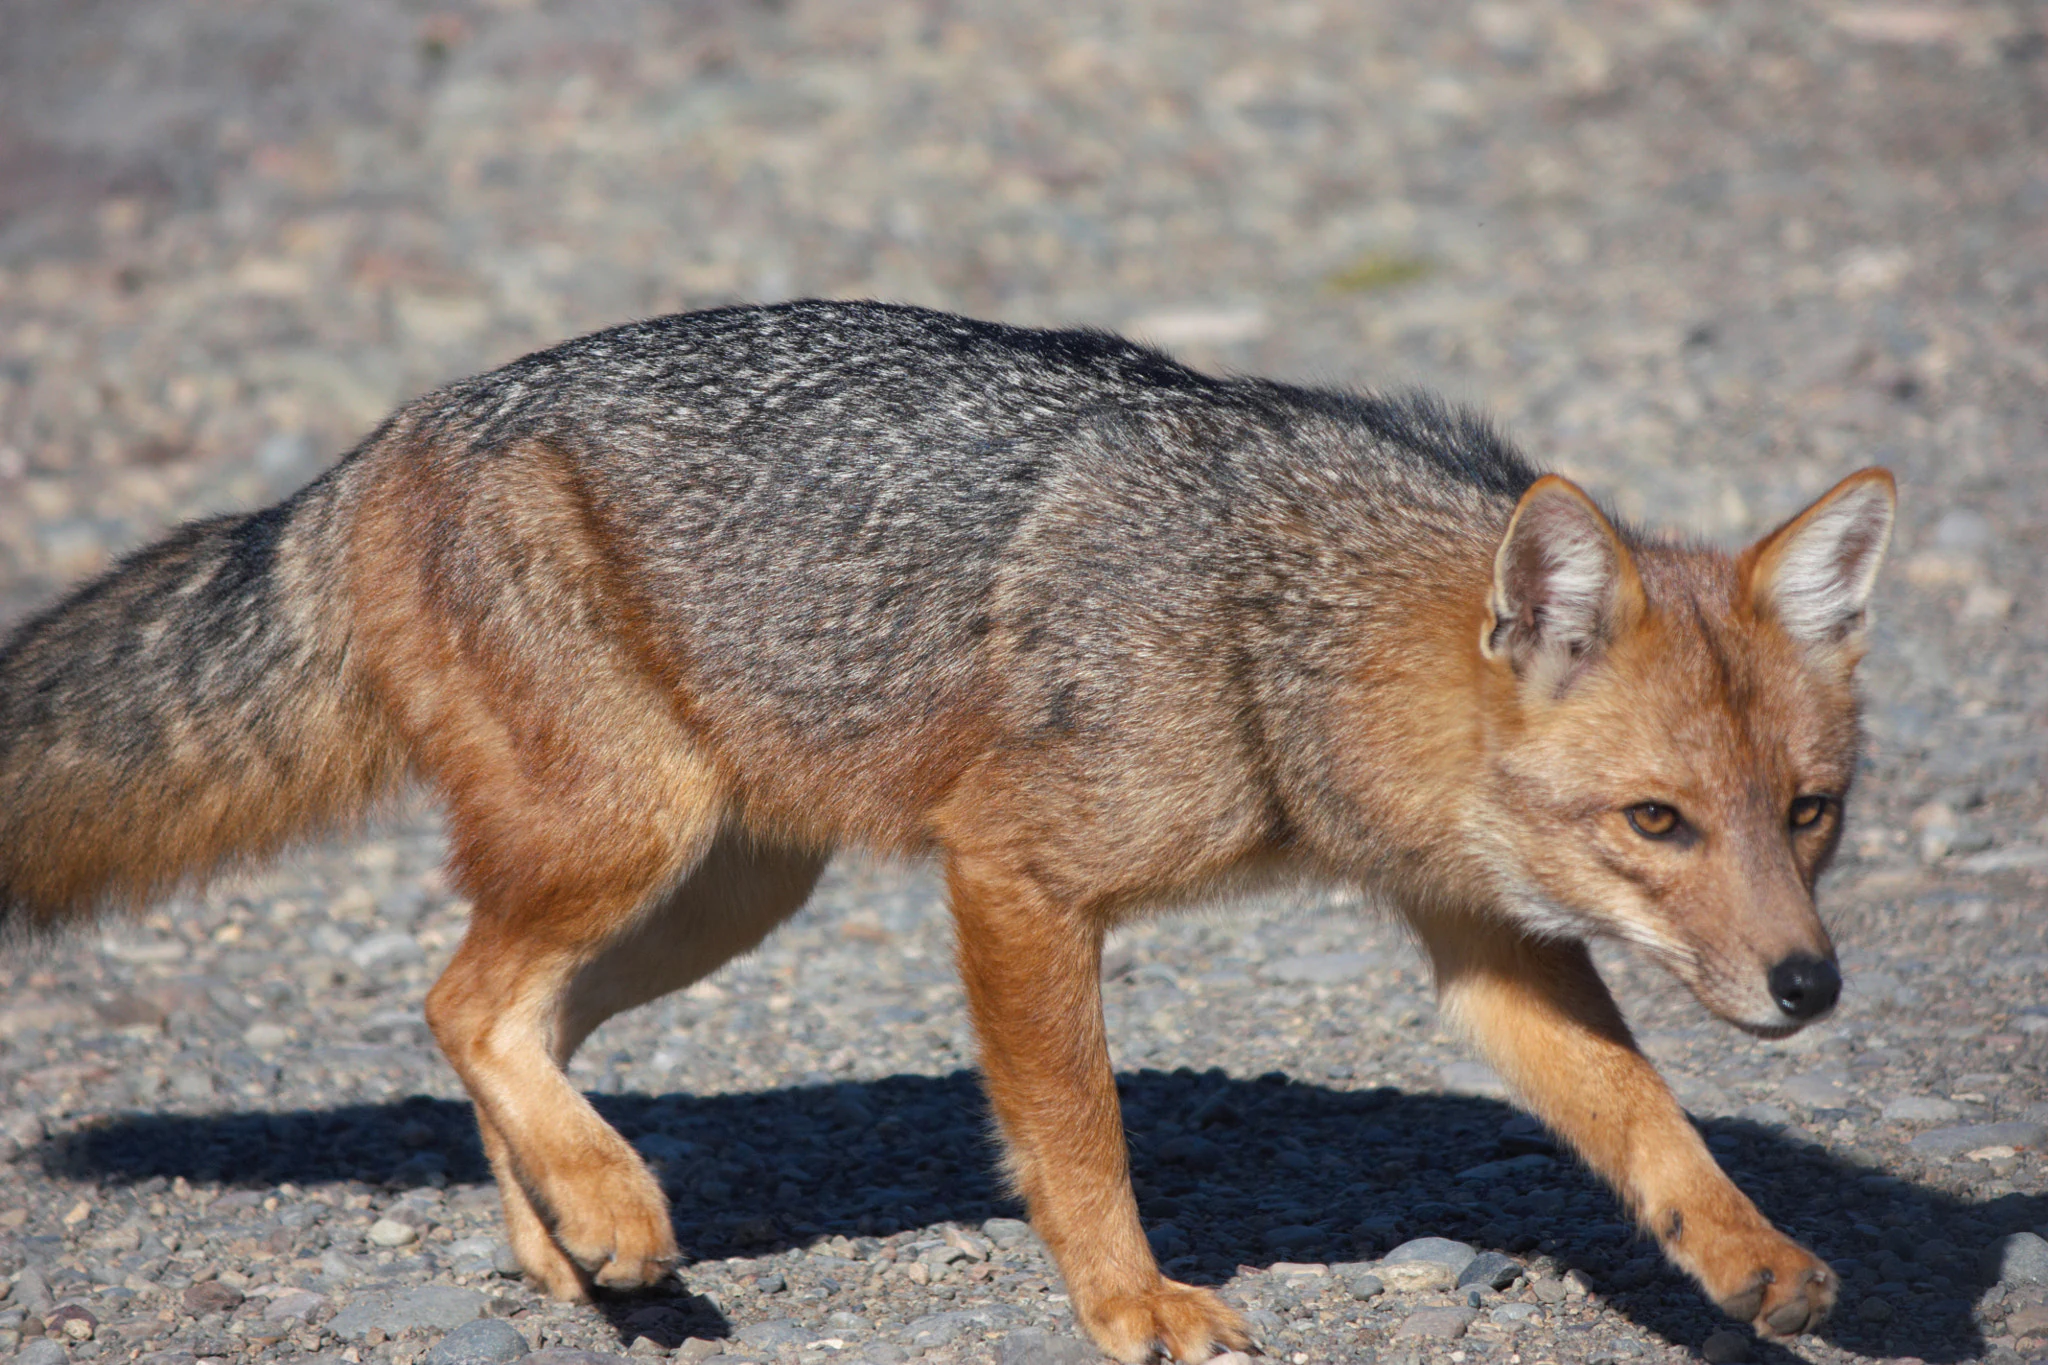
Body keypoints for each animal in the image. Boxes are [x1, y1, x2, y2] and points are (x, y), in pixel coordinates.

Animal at [0, 300, 1893, 1361]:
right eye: (1656, 819)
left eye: (1809, 815)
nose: (1811, 988)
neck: (1267, 624)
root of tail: (382, 440)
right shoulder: (1017, 879)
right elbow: (1079, 1140)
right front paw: (1130, 1308)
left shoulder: (1484, 944)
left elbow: (1645, 1118)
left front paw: (1750, 1261)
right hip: (639, 837)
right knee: (459, 1001)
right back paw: (607, 1210)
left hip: (722, 891)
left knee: (504, 1019)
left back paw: (576, 1240)